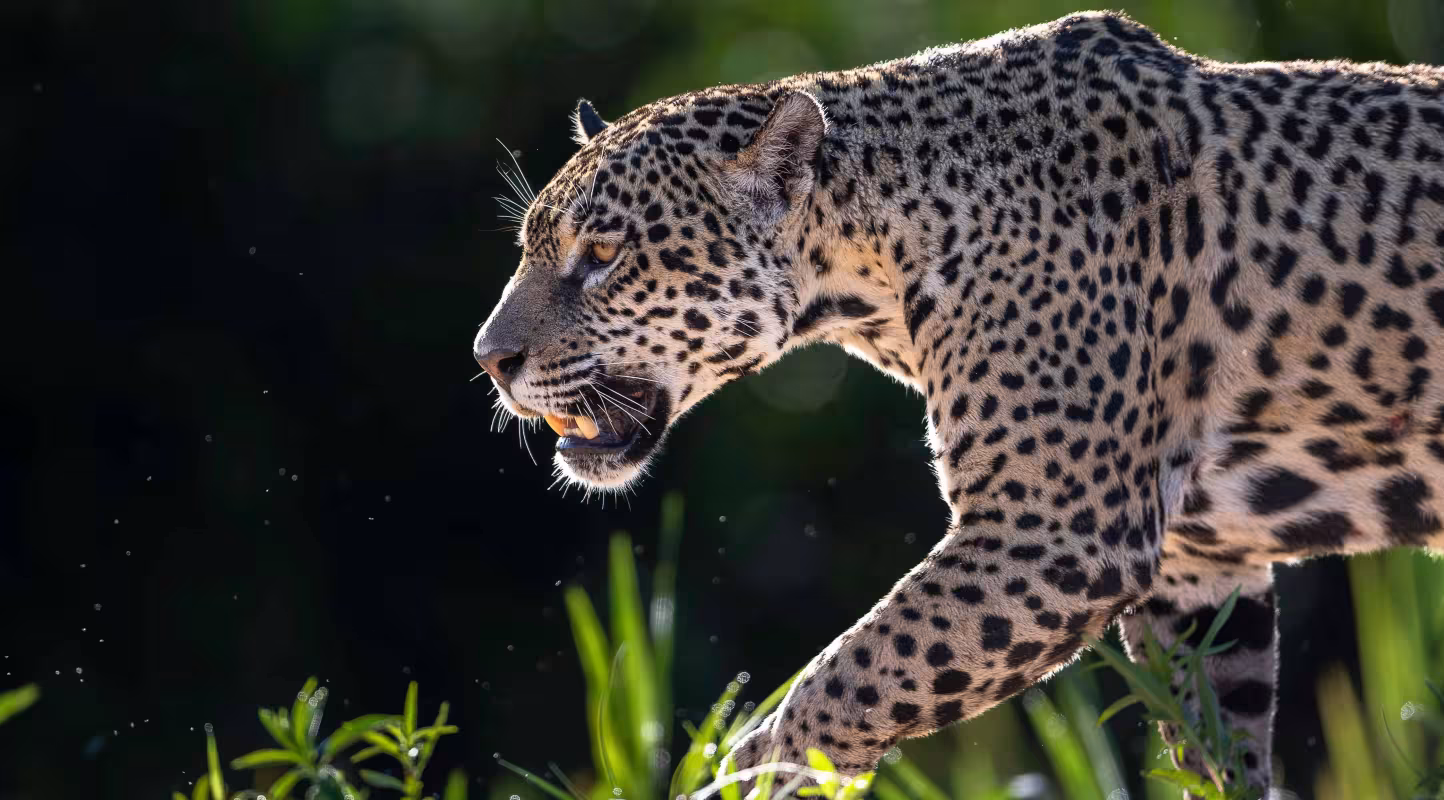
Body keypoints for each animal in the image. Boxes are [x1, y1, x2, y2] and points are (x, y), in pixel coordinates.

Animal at [472, 11, 1444, 793]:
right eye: (529, 246)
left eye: (603, 254)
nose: (489, 359)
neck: (879, 255)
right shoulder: (1199, 570)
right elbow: (1216, 748)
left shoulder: (1054, 533)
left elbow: (844, 682)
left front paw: (744, 781)